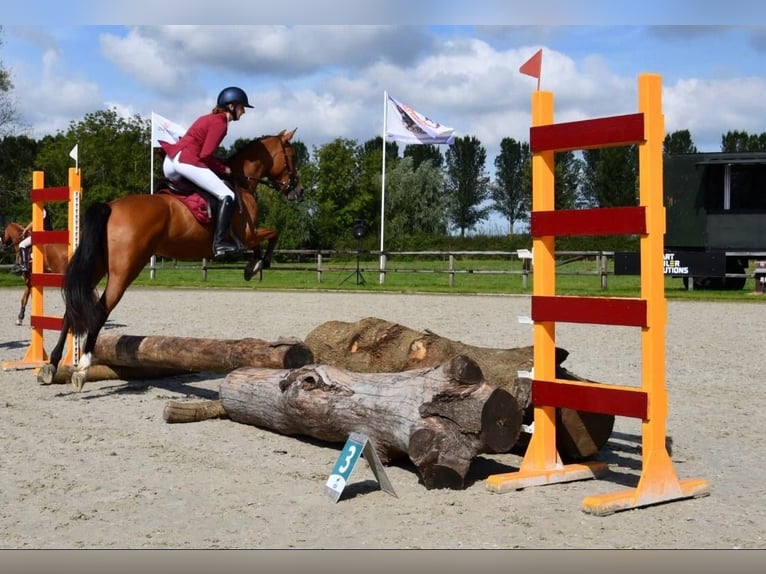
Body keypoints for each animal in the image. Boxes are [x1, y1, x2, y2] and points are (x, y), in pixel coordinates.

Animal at [41, 128, 304, 391]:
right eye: (292, 156)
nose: (298, 191)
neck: (241, 183)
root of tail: (110, 207)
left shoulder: (249, 236)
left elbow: (266, 240)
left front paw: (253, 266)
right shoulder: (247, 234)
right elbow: (272, 234)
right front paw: (258, 264)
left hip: (97, 266)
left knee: (71, 310)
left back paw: (51, 364)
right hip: (125, 270)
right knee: (99, 311)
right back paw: (82, 368)